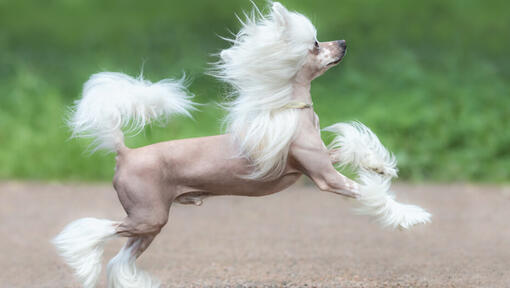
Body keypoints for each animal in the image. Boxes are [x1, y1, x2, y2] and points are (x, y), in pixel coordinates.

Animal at [53, 2, 430, 288]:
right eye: (315, 45)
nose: (344, 42)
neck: (290, 110)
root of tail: (125, 153)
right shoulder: (325, 177)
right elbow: (374, 195)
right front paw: (411, 215)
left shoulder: (318, 161)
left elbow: (351, 148)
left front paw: (379, 164)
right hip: (147, 216)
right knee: (98, 230)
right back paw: (77, 251)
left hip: (151, 225)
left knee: (120, 258)